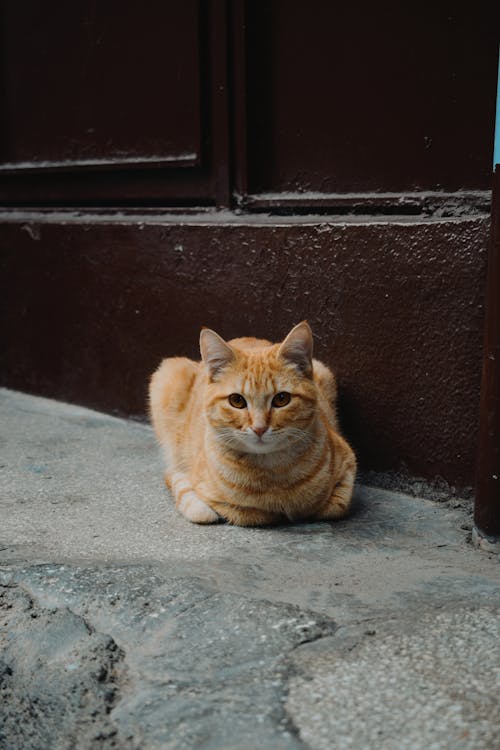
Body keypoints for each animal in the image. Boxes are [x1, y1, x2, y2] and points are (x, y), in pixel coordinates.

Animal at [148, 324, 356, 528]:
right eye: (236, 401)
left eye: (282, 399)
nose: (259, 428)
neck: (273, 472)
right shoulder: (215, 496)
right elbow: (252, 514)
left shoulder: (349, 466)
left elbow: (334, 507)